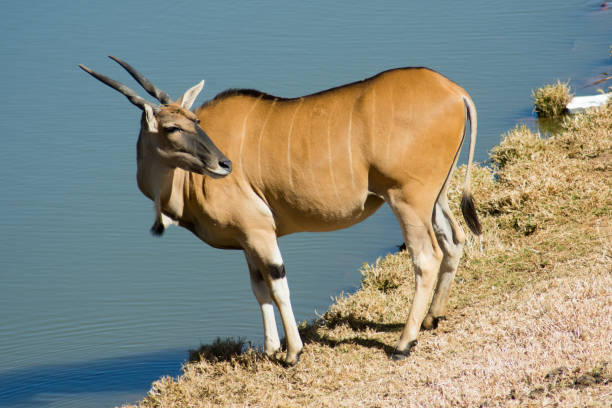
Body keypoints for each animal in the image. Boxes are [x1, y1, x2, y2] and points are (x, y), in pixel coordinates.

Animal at [79, 56, 482, 364]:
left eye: (194, 122)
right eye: (174, 127)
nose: (223, 164)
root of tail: (454, 92)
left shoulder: (259, 231)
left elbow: (278, 284)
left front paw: (292, 353)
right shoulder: (247, 240)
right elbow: (259, 289)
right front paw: (272, 348)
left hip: (407, 200)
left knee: (426, 257)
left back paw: (403, 343)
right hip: (434, 199)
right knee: (454, 240)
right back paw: (432, 318)